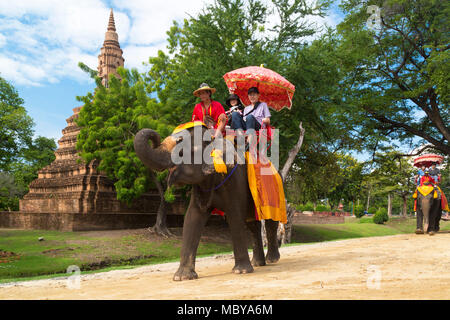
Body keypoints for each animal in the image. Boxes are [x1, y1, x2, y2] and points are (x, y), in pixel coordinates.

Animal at [134, 125, 282, 280]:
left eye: (181, 152)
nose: (155, 138)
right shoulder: (200, 186)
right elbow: (192, 217)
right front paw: (182, 277)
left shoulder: (233, 179)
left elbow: (234, 215)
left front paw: (241, 271)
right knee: (252, 223)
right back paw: (258, 263)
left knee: (270, 222)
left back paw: (272, 259)